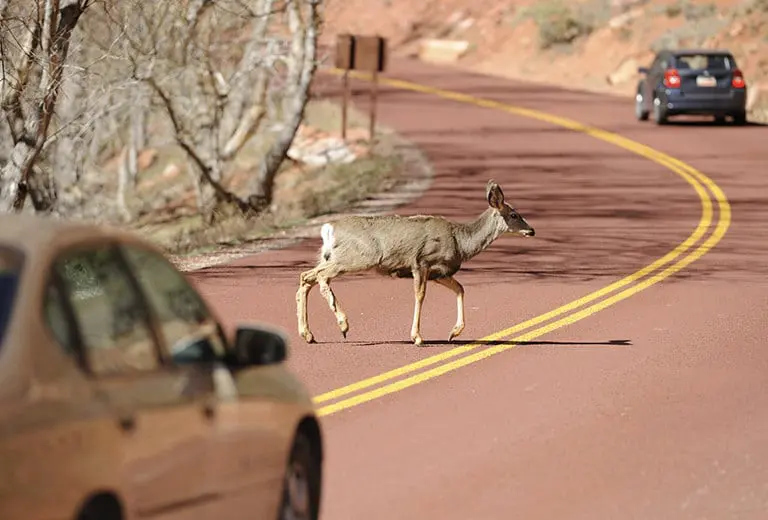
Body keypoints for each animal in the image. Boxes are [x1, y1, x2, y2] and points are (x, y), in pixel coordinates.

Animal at [294, 179, 536, 346]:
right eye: (514, 215)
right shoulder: (421, 262)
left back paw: (308, 334)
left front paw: (454, 332)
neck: (460, 241)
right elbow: (420, 296)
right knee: (321, 277)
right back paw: (343, 323)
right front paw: (417, 337)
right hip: (356, 257)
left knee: (306, 277)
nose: (531, 230)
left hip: (330, 257)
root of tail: (328, 228)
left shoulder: (440, 272)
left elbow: (460, 289)